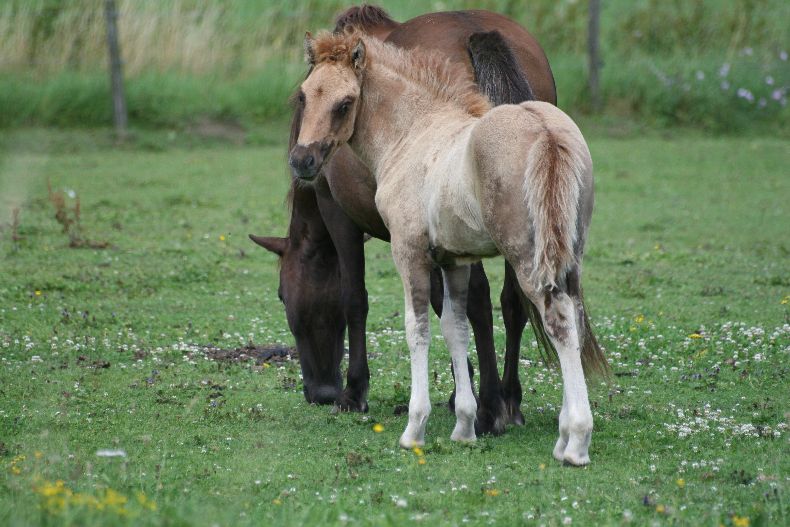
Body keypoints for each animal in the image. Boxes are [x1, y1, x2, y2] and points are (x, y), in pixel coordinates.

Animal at [252, 4, 556, 436]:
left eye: (282, 295)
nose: (319, 392)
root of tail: (476, 31)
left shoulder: (340, 216)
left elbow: (356, 298)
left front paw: (355, 391)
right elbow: (444, 308)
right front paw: (459, 391)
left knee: (480, 301)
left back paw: (489, 408)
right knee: (513, 300)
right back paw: (509, 399)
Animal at [294, 29, 608, 466]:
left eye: (345, 103)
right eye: (304, 96)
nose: (302, 161)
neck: (413, 133)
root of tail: (545, 130)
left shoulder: (408, 251)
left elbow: (418, 329)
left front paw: (415, 428)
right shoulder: (454, 260)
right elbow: (455, 327)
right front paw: (464, 425)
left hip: (528, 256)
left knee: (558, 319)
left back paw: (575, 441)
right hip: (568, 254)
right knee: (572, 317)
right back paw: (562, 433)